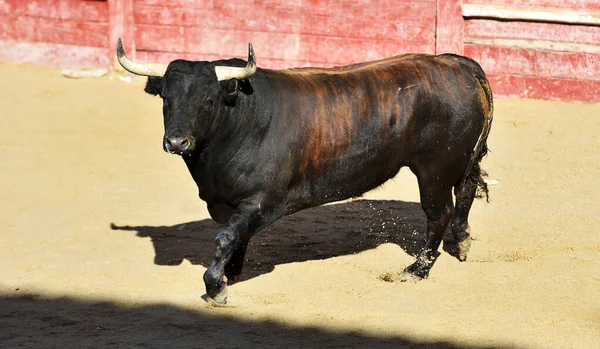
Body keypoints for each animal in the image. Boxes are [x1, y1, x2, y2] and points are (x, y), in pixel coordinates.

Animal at [116, 39, 492, 304]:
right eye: (165, 98)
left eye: (209, 100)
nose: (177, 142)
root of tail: (455, 62)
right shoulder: (226, 203)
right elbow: (236, 237)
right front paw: (230, 274)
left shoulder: (263, 201)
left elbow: (225, 237)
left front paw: (216, 287)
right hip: (458, 163)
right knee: (466, 194)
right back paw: (463, 243)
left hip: (434, 169)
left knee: (439, 212)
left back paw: (416, 269)